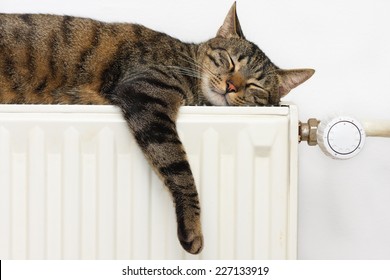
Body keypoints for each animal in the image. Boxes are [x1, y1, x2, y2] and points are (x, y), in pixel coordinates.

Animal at [0, 2, 314, 256]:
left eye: (255, 86)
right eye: (229, 61)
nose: (232, 86)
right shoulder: (146, 95)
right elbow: (180, 170)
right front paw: (192, 227)